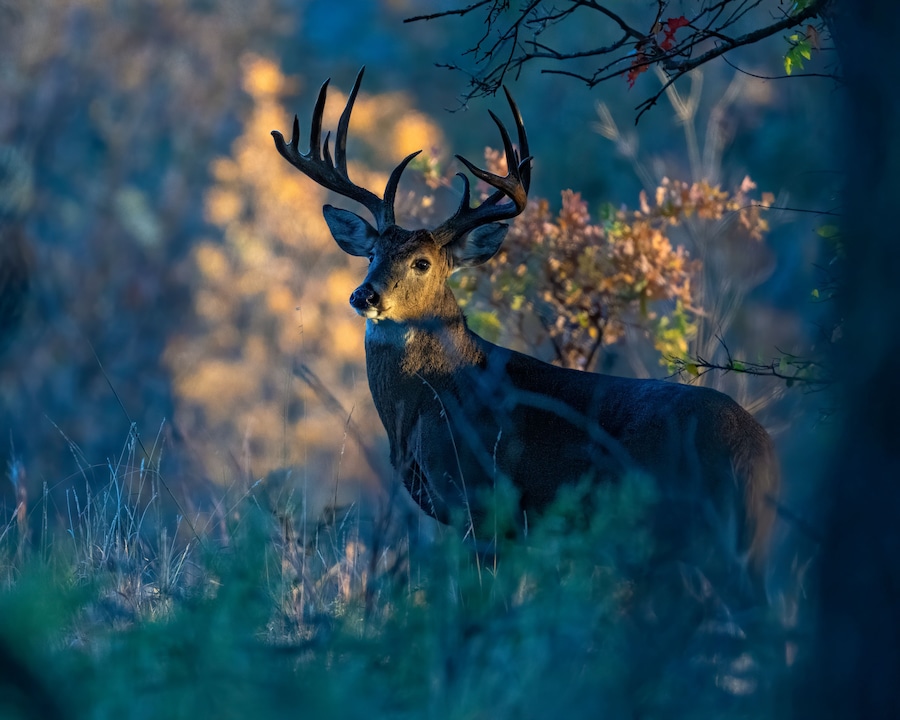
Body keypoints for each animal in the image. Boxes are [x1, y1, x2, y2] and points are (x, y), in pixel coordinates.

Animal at [272, 69, 779, 595]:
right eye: (372, 253)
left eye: (422, 262)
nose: (364, 295)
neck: (433, 398)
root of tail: (757, 453)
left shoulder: (481, 500)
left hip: (683, 527)